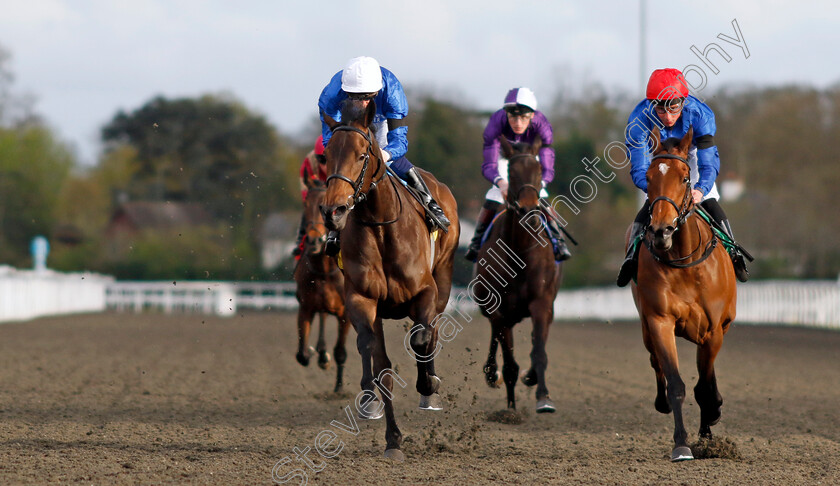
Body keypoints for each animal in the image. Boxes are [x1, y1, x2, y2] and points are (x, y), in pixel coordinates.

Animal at [294, 178, 350, 394]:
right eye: (305, 205)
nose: (313, 240)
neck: (324, 270)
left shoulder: (345, 313)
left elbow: (341, 351)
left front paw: (339, 388)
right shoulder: (306, 306)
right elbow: (301, 355)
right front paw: (312, 352)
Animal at [320, 101, 460, 460]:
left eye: (361, 154)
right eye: (327, 155)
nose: (333, 210)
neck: (381, 227)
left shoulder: (426, 292)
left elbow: (422, 338)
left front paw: (428, 385)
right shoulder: (361, 299)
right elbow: (377, 360)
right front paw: (392, 438)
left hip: (444, 277)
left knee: (430, 331)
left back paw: (429, 387)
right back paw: (370, 400)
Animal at [476, 137, 560, 414]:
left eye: (539, 171)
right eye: (511, 173)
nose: (528, 210)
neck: (520, 252)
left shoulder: (542, 304)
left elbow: (539, 352)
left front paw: (543, 395)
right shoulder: (499, 310)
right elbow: (510, 364)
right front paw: (510, 409)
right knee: (495, 337)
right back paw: (492, 373)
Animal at [628, 127, 740, 462]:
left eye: (685, 177)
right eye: (648, 177)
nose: (661, 230)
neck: (684, 261)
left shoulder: (713, 328)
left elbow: (703, 387)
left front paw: (709, 434)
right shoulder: (660, 320)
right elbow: (676, 384)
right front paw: (681, 444)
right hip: (646, 327)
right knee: (655, 362)